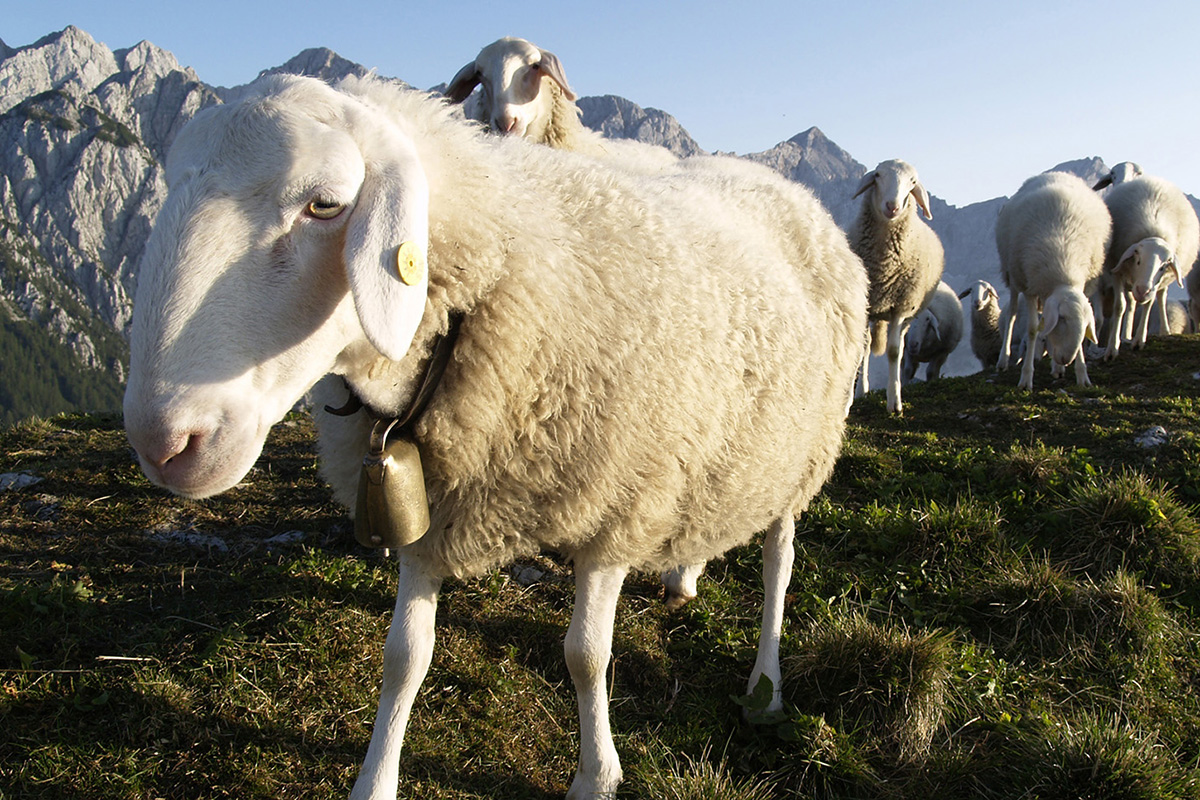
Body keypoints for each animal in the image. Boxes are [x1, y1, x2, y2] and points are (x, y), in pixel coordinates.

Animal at [124, 73, 873, 800]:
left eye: (326, 205)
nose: (164, 444)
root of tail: (784, 185)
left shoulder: (617, 503)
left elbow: (585, 656)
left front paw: (595, 776)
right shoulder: (428, 505)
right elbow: (405, 656)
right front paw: (376, 777)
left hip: (802, 451)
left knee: (779, 563)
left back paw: (766, 684)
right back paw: (682, 574)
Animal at [849, 159, 940, 417]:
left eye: (912, 181)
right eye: (878, 175)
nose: (892, 207)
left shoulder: (901, 306)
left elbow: (893, 351)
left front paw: (894, 402)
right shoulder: (865, 303)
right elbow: (860, 349)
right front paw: (849, 400)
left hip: (910, 314)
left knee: (897, 348)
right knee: (867, 347)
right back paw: (862, 391)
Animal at [988, 172, 1108, 391]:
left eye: (1085, 323)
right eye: (1063, 318)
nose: (1065, 359)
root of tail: (1056, 173)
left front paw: (1081, 374)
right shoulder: (1029, 286)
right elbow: (1032, 329)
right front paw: (1026, 378)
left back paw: (1057, 368)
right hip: (1013, 275)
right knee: (1012, 315)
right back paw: (1003, 359)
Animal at [1099, 176, 1195, 362]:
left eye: (1163, 267)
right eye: (1138, 260)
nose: (1143, 290)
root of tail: (1154, 179)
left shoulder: (1156, 283)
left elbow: (1149, 303)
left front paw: (1139, 340)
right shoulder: (1117, 271)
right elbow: (1120, 306)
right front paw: (1112, 348)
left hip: (1162, 284)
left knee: (1161, 298)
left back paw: (1164, 330)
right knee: (1131, 304)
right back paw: (1125, 335)